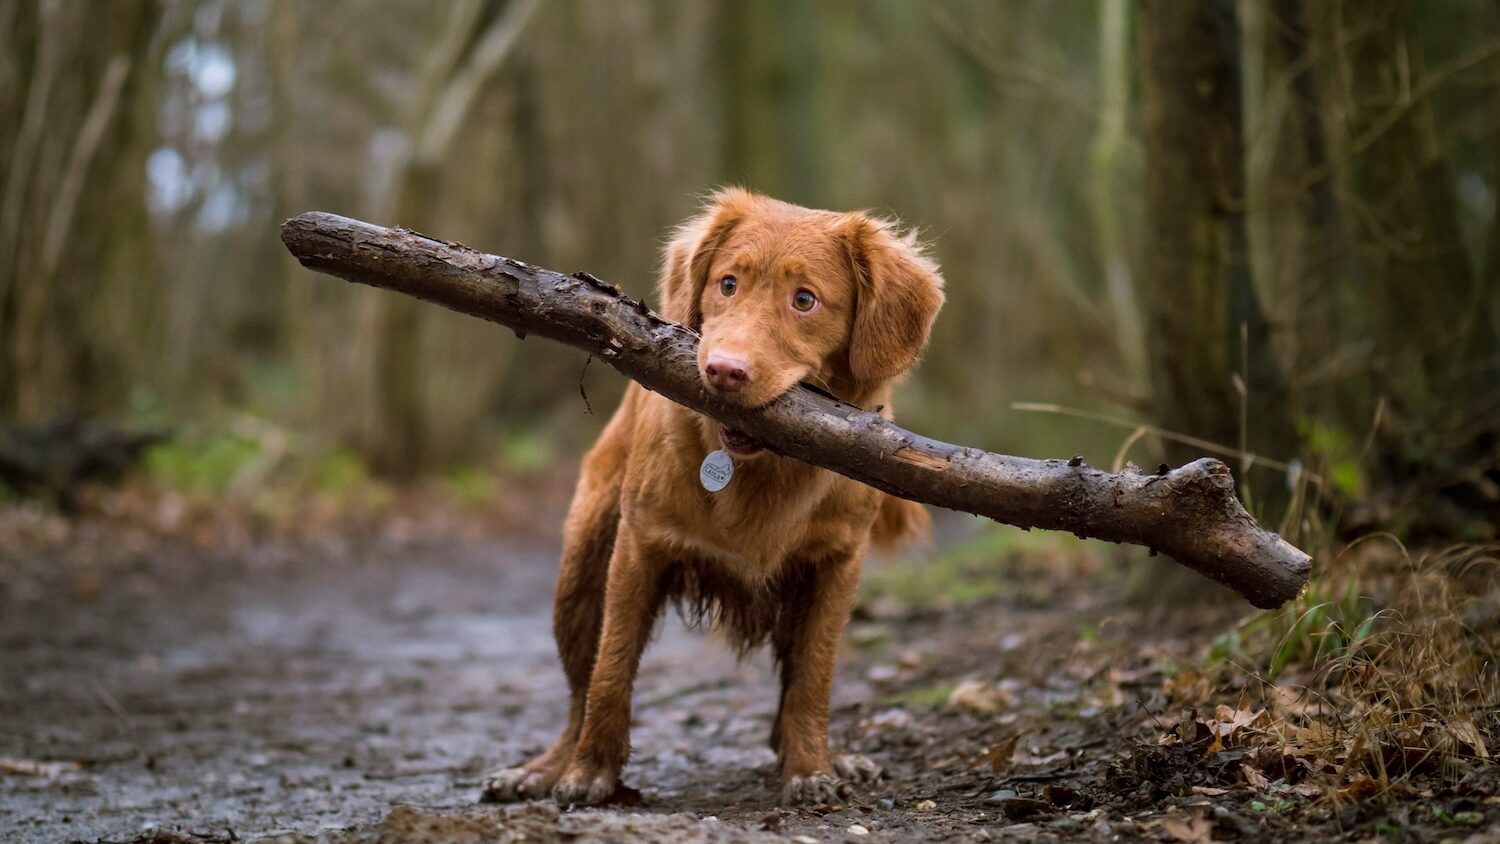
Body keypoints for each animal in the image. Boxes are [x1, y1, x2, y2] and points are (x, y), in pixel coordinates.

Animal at [486, 189, 942, 803]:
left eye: (805, 300)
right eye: (728, 284)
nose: (724, 370)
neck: (762, 468)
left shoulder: (837, 564)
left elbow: (813, 676)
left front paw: (811, 768)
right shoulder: (639, 547)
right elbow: (611, 669)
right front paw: (590, 773)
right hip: (580, 572)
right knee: (580, 689)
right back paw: (546, 768)